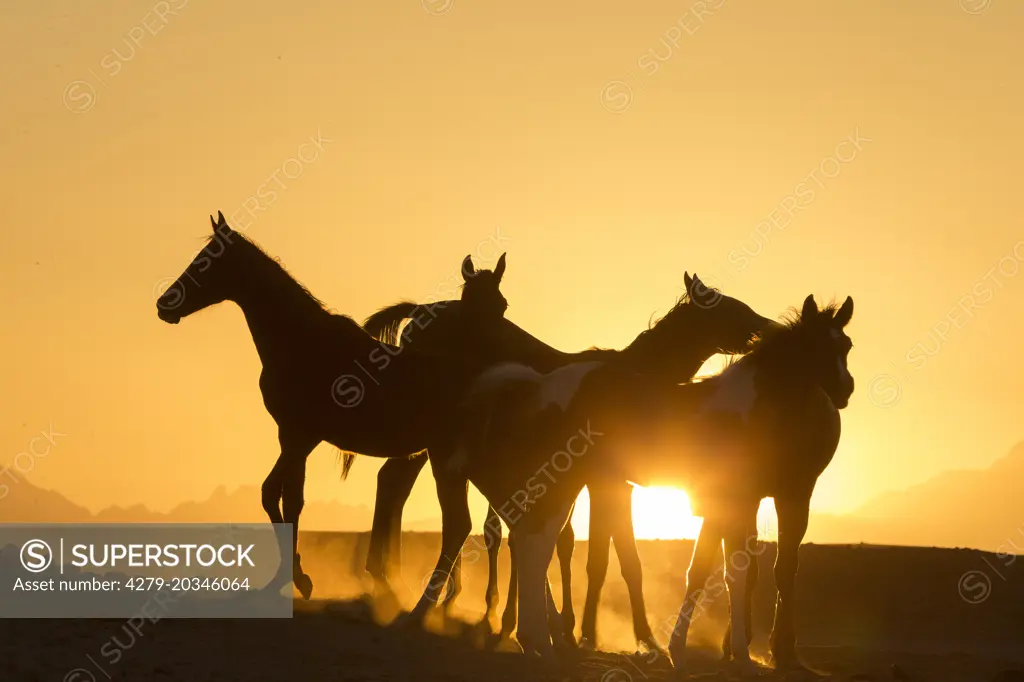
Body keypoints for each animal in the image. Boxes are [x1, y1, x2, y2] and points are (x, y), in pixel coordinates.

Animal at [155, 210, 495, 593]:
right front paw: (295, 575)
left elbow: (278, 495)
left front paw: (294, 577)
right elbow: (285, 497)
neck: (303, 341)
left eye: (205, 262)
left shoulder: (300, 435)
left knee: (459, 523)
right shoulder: (294, 437)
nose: (164, 304)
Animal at [362, 270, 774, 647]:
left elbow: (585, 548)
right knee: (401, 485)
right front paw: (598, 632)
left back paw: (391, 579)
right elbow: (609, 557)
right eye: (727, 307)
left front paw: (570, 626)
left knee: (394, 480)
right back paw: (393, 582)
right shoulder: (605, 481)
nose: (765, 328)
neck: (635, 374)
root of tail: (420, 313)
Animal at [419, 294, 851, 667]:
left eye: (845, 345)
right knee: (534, 545)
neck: (752, 407)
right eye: (817, 347)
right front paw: (739, 656)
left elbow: (712, 569)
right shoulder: (738, 501)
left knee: (530, 543)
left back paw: (537, 641)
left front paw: (688, 650)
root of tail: (539, 386)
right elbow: (734, 573)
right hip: (560, 483)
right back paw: (541, 641)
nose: (845, 391)